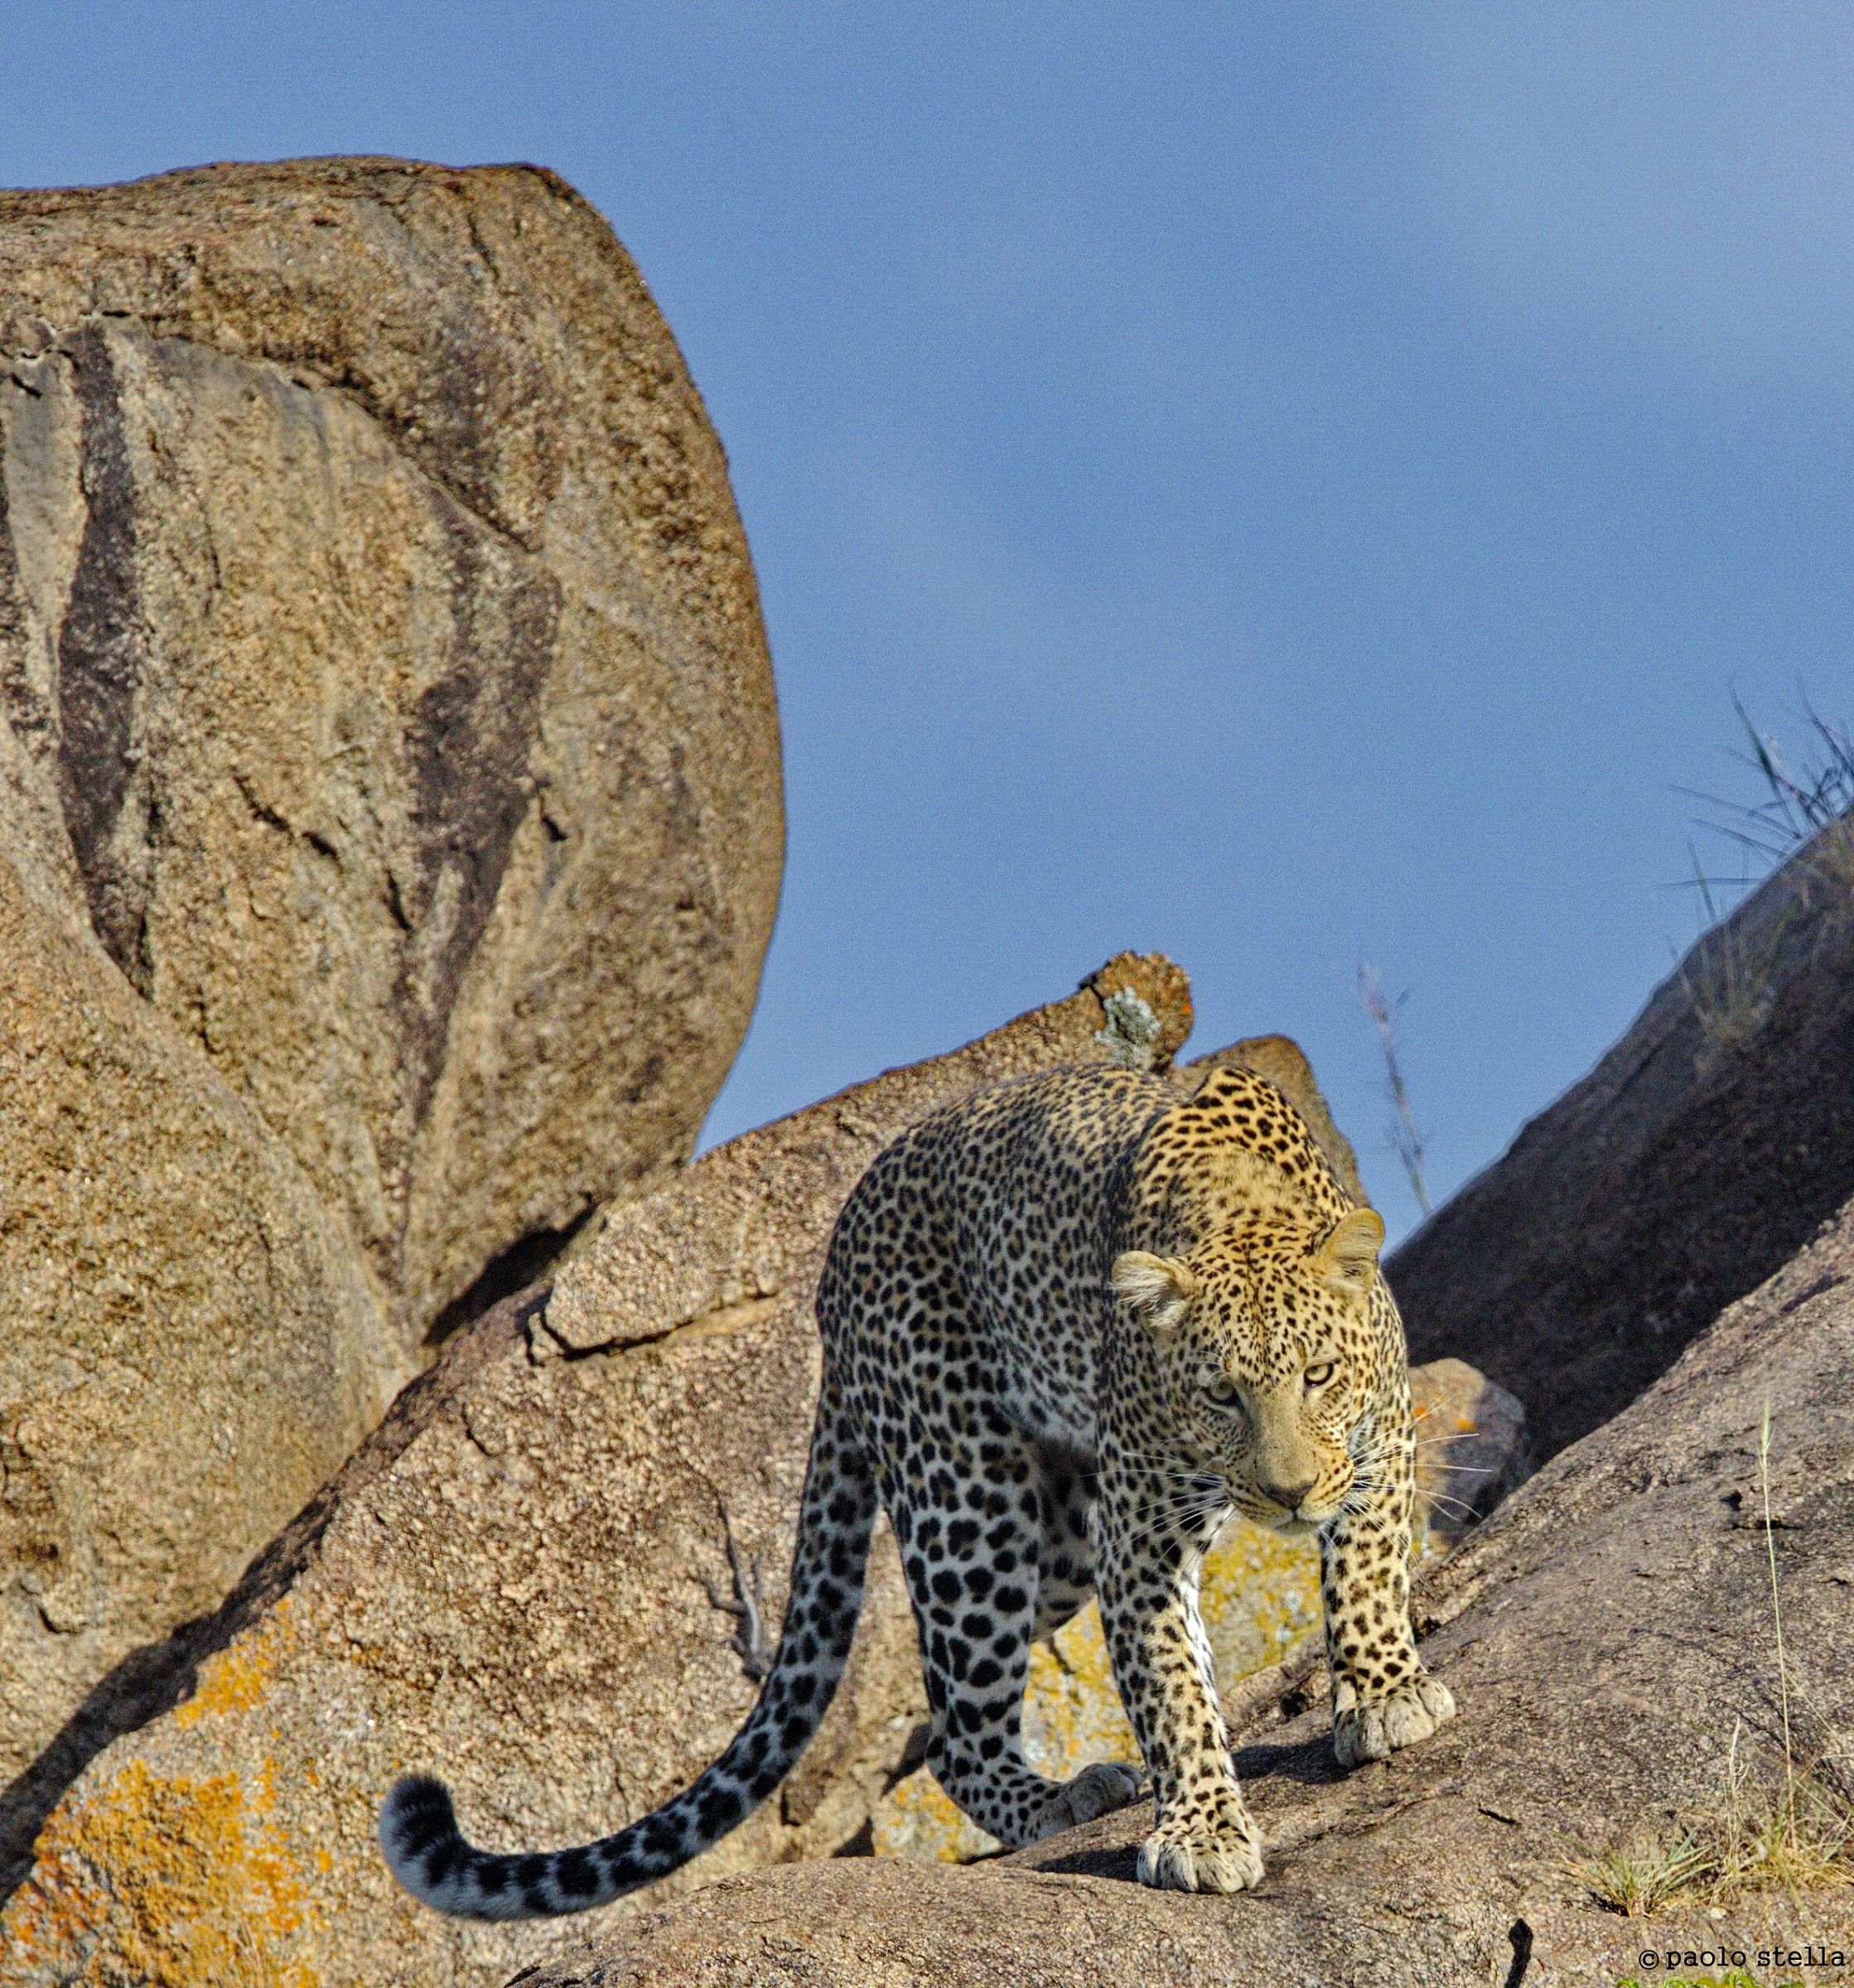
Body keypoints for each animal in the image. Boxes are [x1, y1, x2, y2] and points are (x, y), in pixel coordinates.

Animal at [380, 1059, 1455, 1916]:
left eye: (1318, 1375)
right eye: (1219, 1393)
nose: (1289, 1494)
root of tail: (831, 1272)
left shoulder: (1380, 1443)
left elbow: (1365, 1577)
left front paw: (1384, 1693)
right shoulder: (1142, 1534)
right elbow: (1173, 1689)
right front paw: (1200, 1832)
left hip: (1059, 1538)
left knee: (947, 1711)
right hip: (972, 1502)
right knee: (954, 1730)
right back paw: (1054, 1800)